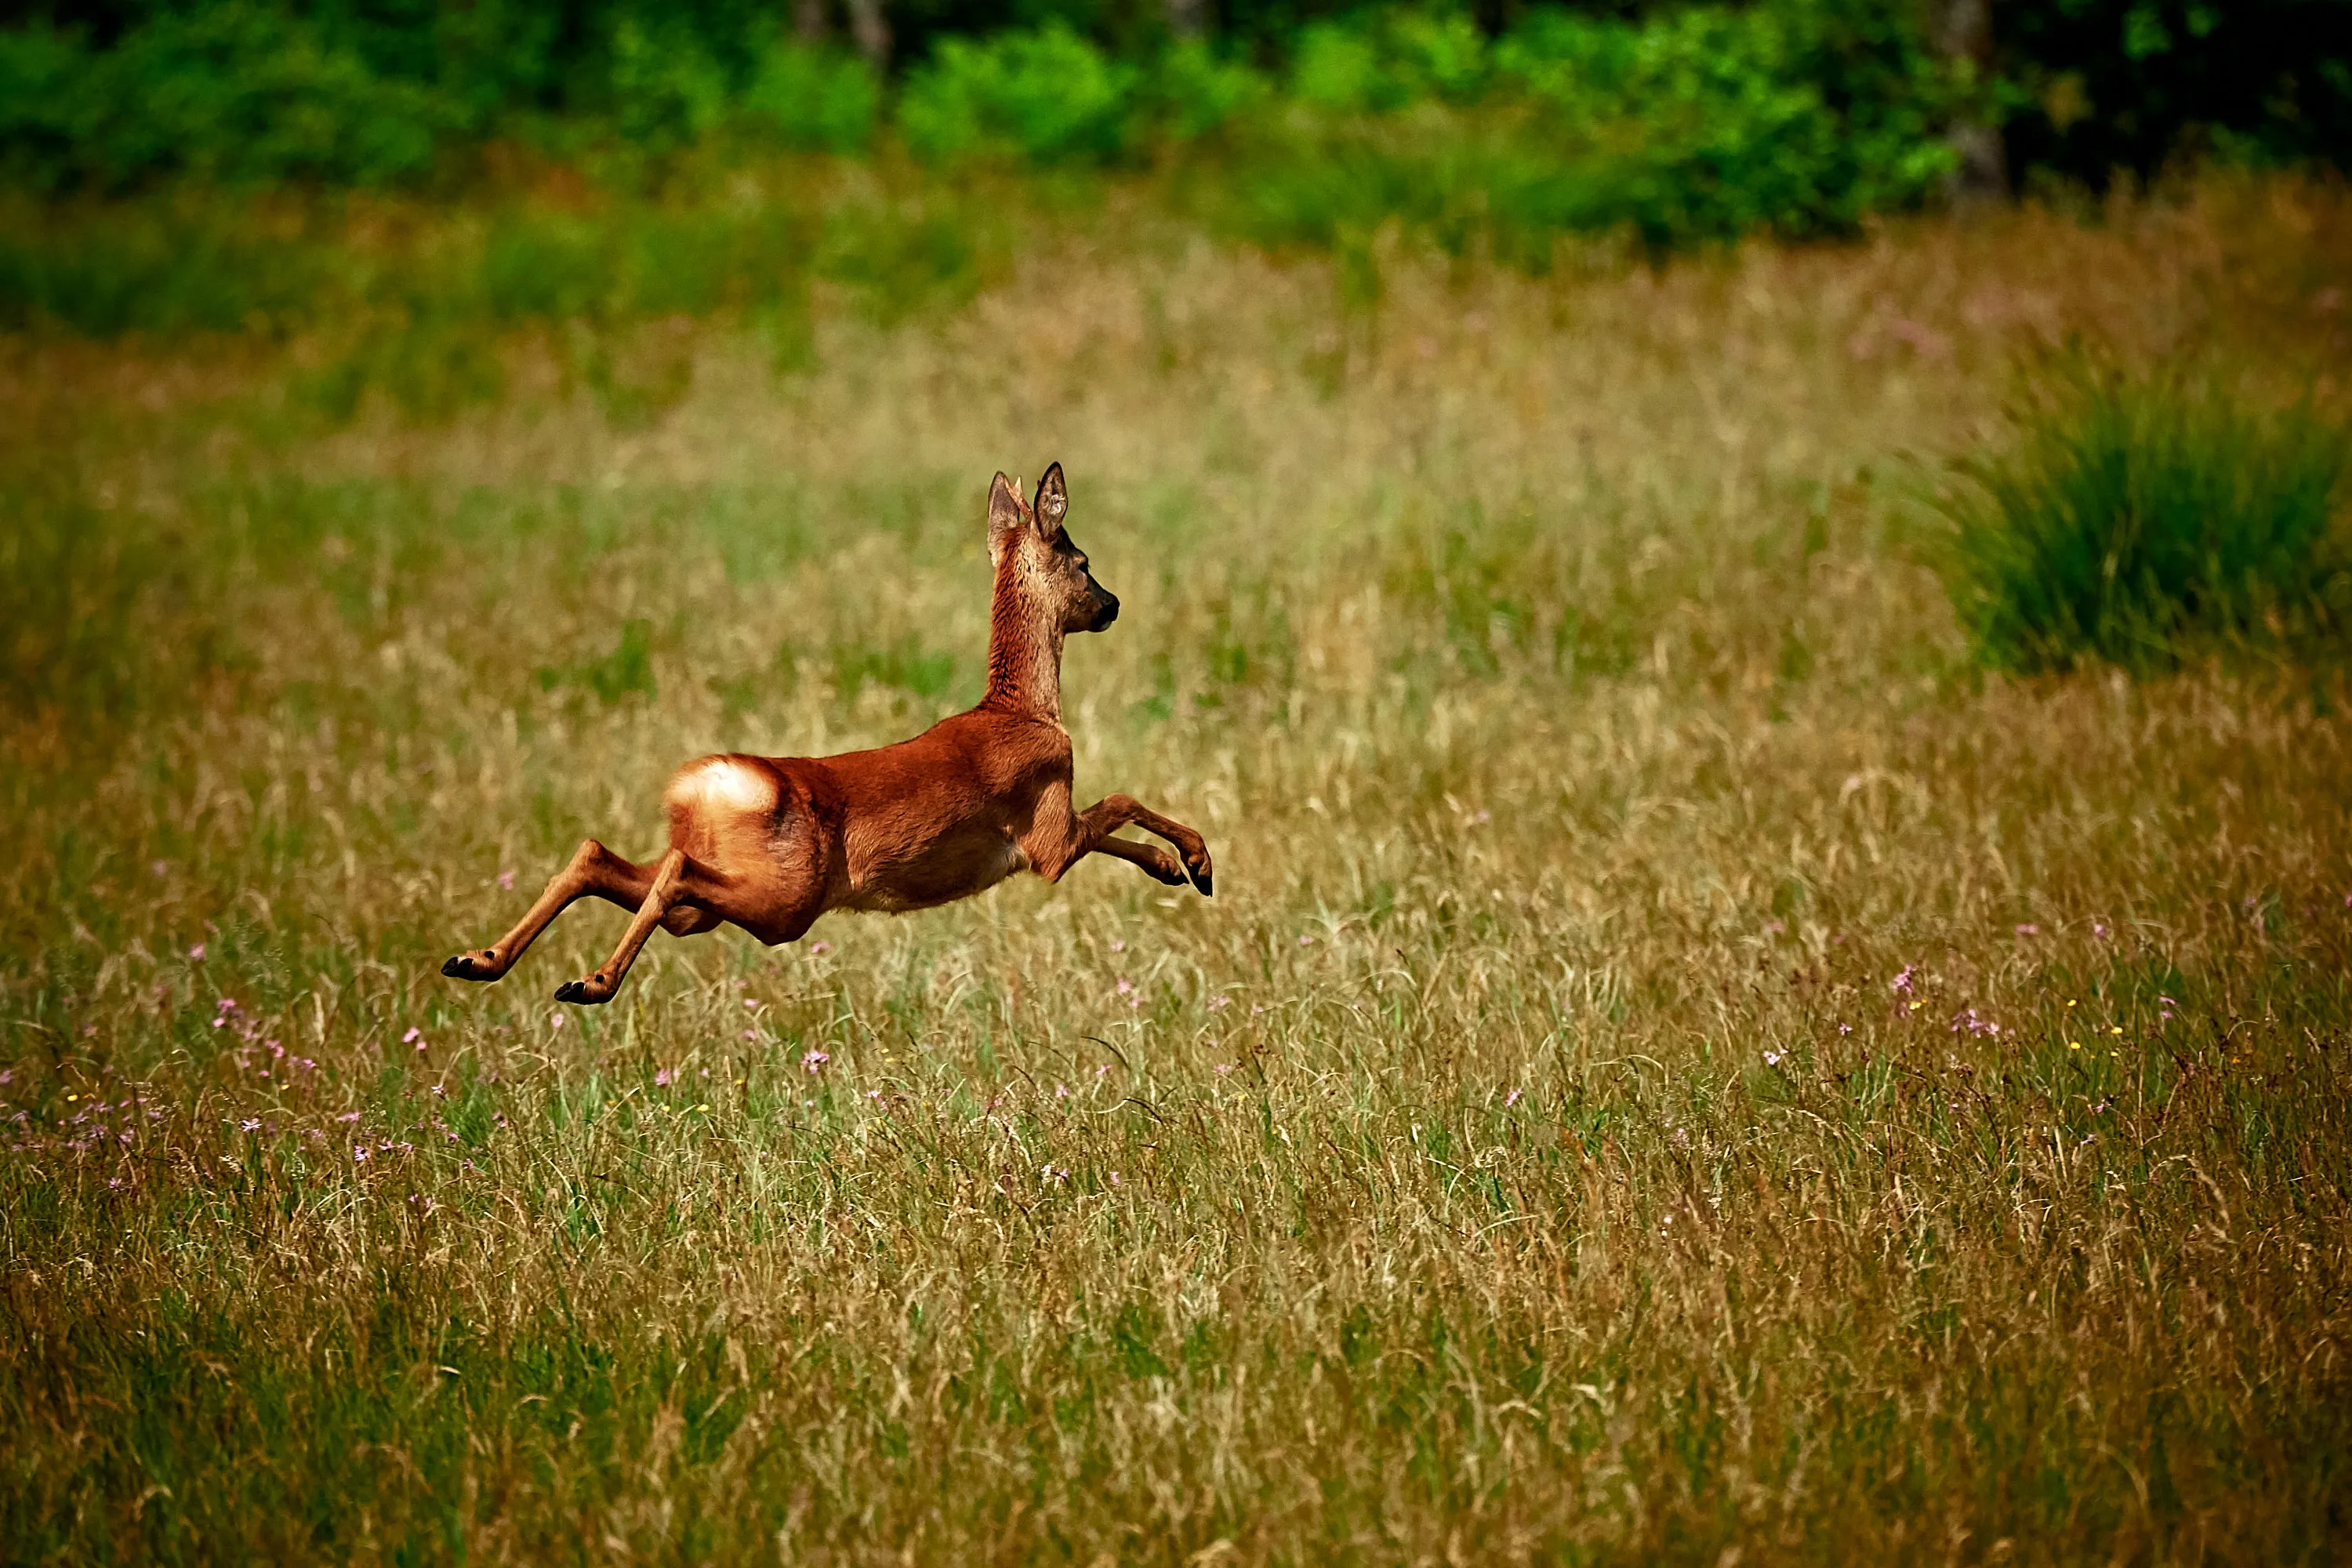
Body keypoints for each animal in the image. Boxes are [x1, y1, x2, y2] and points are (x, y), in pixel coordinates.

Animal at [441, 463, 1214, 1006]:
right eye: (1084, 561)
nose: (1113, 605)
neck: (1021, 710)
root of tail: (703, 786)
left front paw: (1174, 869)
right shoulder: (1047, 832)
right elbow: (1121, 801)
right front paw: (1197, 863)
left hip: (721, 901)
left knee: (599, 855)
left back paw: (479, 961)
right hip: (785, 898)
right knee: (670, 870)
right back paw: (590, 984)